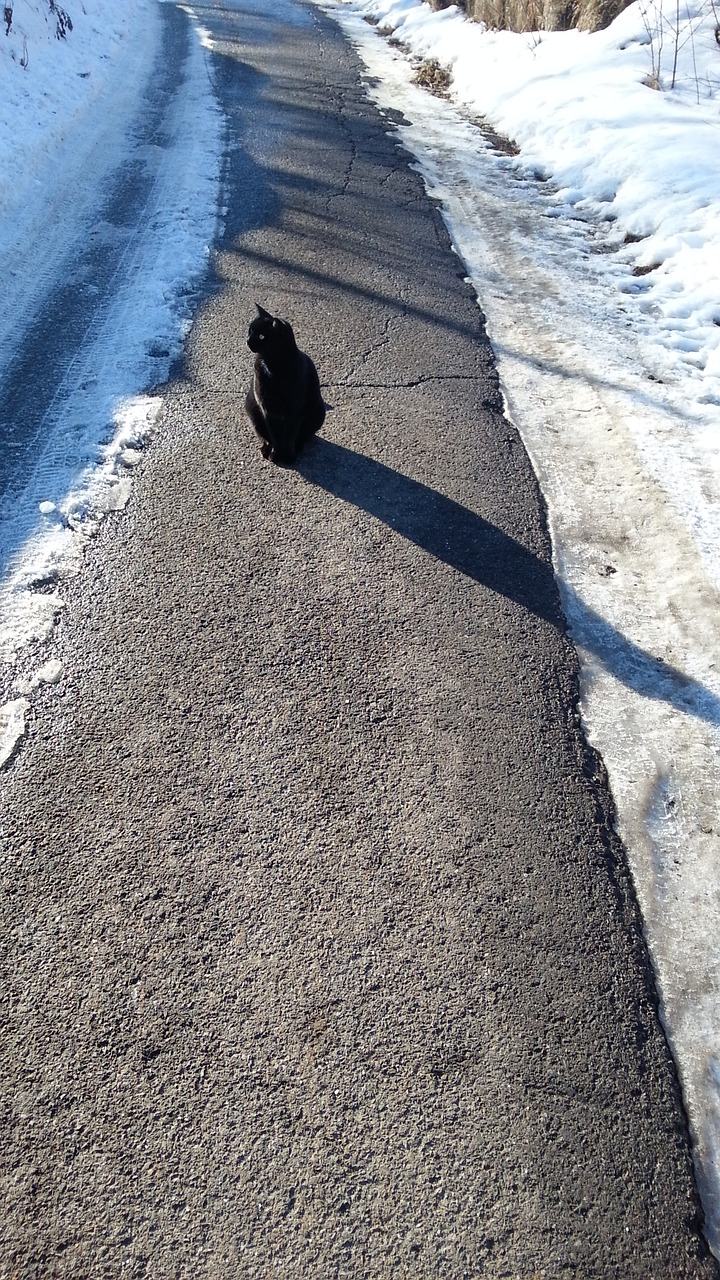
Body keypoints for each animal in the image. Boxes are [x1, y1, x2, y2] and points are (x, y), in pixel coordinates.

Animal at [244, 303, 326, 465]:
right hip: (252, 411)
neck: (274, 366)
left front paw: (287, 456)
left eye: (261, 336)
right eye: (250, 331)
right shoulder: (267, 408)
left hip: (318, 410)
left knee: (302, 435)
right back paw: (266, 449)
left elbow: (289, 436)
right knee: (265, 436)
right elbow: (274, 435)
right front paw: (275, 455)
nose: (248, 341)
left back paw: (297, 447)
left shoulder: (294, 409)